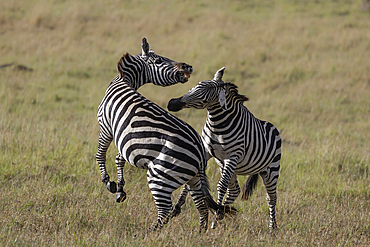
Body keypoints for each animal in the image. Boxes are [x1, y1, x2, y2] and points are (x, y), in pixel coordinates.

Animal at [95, 39, 234, 233]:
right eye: (159, 60)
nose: (188, 66)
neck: (123, 81)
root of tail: (200, 154)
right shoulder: (125, 139)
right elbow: (119, 159)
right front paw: (120, 189)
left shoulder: (106, 126)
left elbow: (100, 154)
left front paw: (108, 182)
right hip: (193, 178)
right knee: (201, 206)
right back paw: (200, 232)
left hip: (160, 176)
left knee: (165, 210)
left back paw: (147, 233)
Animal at [167, 67, 280, 230]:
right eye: (196, 85)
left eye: (205, 99)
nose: (172, 104)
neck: (218, 124)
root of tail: (273, 126)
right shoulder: (206, 151)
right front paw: (176, 209)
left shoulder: (233, 156)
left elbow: (220, 186)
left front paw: (215, 218)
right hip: (227, 166)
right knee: (234, 190)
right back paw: (222, 212)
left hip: (270, 170)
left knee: (271, 198)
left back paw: (272, 227)